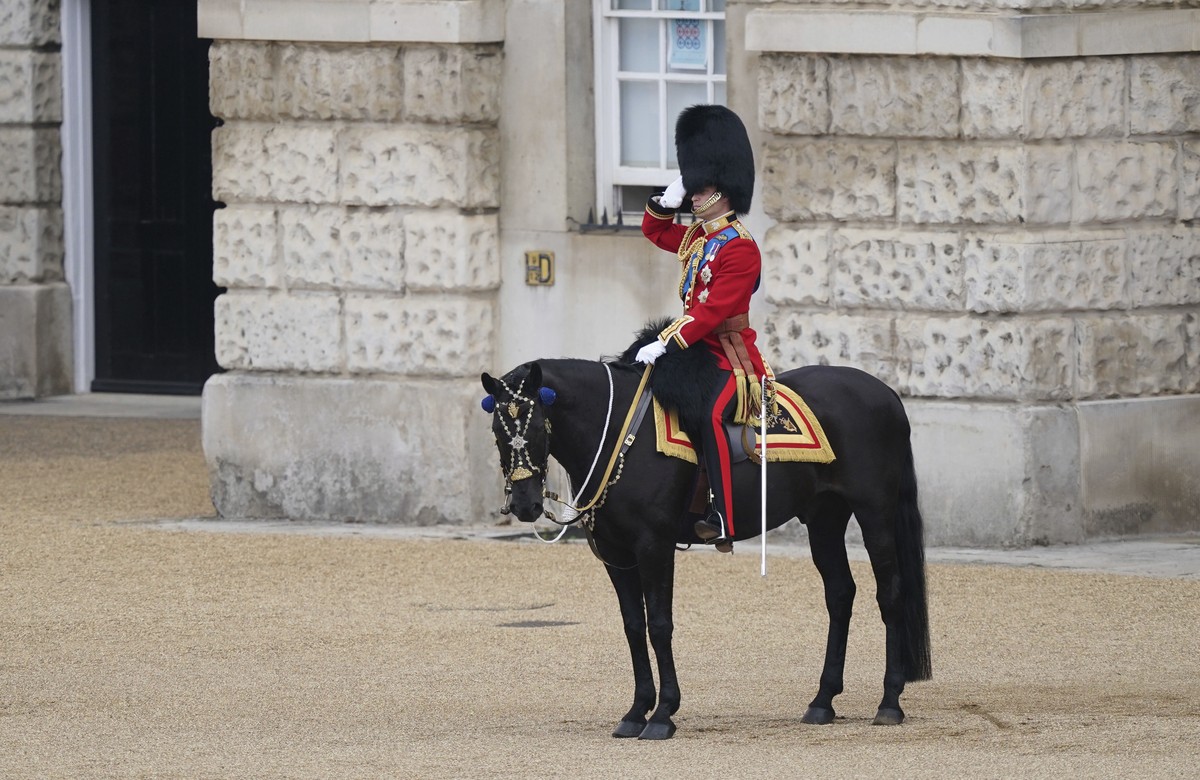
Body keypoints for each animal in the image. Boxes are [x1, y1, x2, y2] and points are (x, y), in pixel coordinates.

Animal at [479, 333, 932, 741]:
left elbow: (660, 624)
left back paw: (889, 702)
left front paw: (663, 714)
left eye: (537, 426)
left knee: (890, 593)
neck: (620, 433)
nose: (525, 505)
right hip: (824, 517)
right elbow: (633, 626)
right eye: (498, 432)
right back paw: (822, 701)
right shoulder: (616, 553)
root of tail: (887, 393)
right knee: (839, 594)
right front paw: (636, 711)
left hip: (874, 513)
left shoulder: (654, 545)